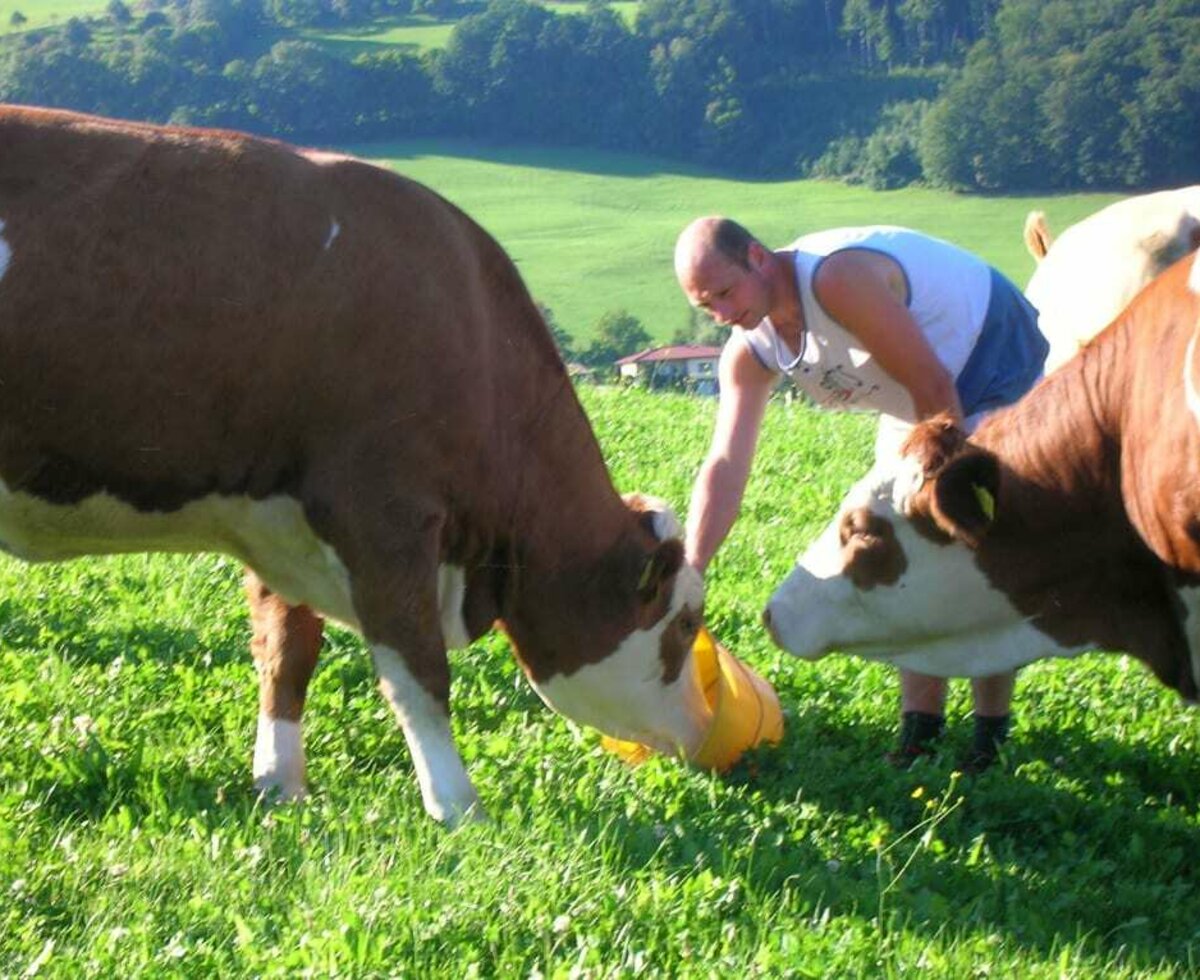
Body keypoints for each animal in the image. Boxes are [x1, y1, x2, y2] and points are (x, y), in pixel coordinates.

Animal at [0, 104, 710, 825]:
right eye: (686, 623)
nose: (704, 731)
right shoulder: (382, 513)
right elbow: (419, 674)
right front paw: (458, 806)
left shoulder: (281, 519)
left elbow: (286, 652)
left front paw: (281, 783)